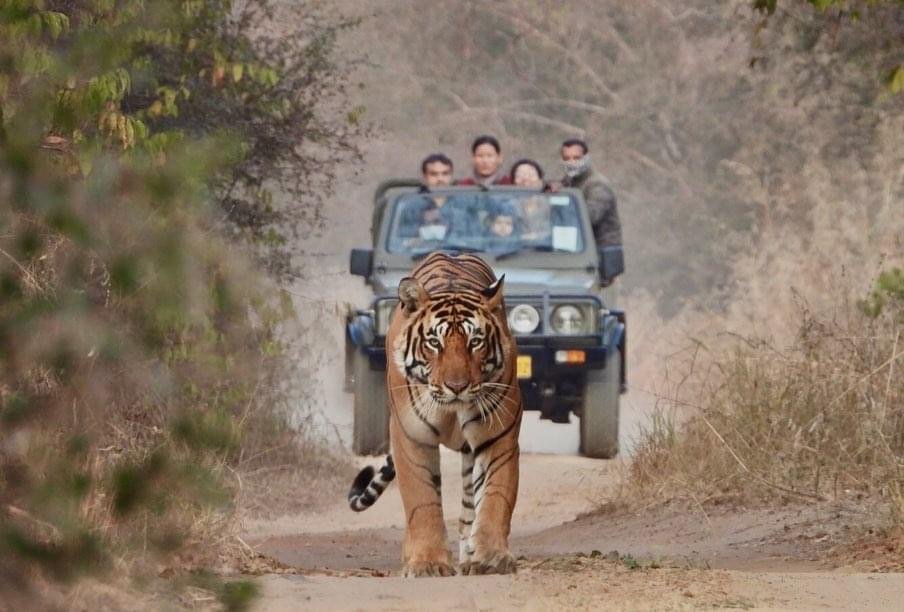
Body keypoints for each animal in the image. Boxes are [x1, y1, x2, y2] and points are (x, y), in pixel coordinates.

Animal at [348, 252, 523, 577]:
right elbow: (422, 500)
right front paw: (427, 562)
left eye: (475, 341)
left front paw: (491, 557)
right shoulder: (411, 436)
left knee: (469, 504)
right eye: (434, 343)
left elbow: (495, 496)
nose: (457, 386)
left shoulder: (498, 436)